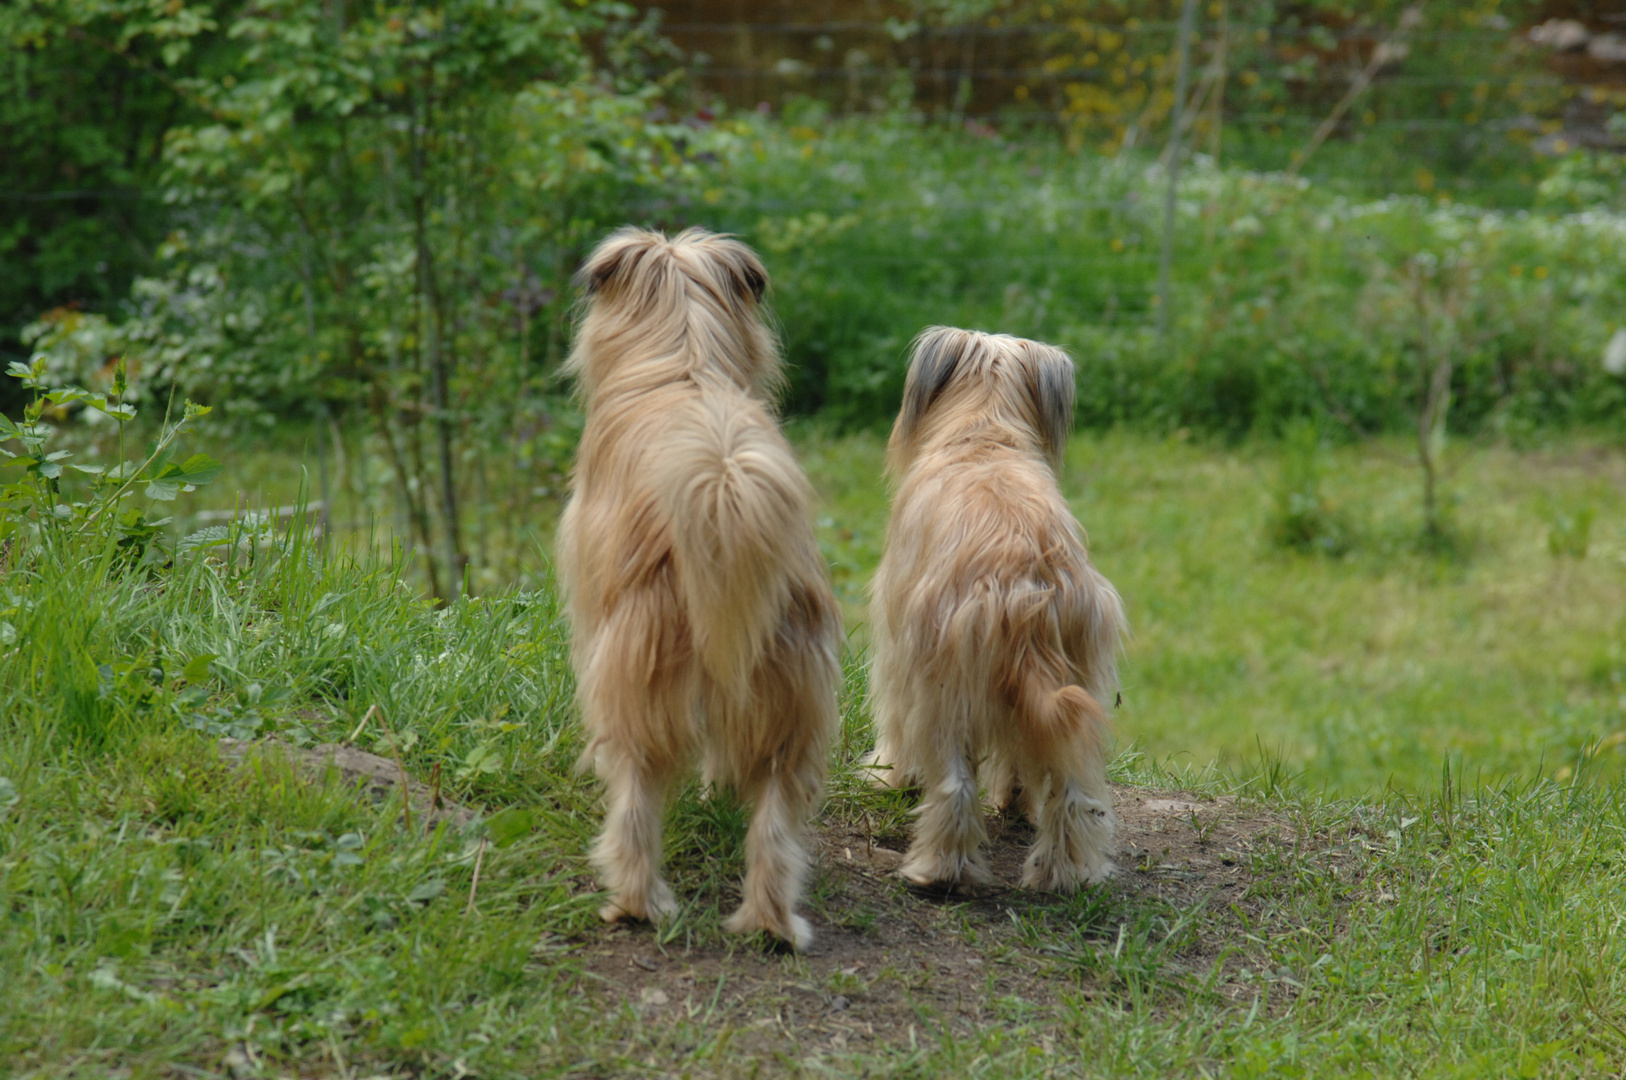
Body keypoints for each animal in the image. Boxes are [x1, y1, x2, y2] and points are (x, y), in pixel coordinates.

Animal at [556, 226, 839, 943]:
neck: (685, 355)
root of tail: (723, 487)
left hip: (634, 680)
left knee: (634, 802)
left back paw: (633, 906)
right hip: (789, 700)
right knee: (774, 827)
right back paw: (771, 926)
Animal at [871, 325, 1125, 891]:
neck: (984, 433)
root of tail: (1026, 586)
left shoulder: (898, 647)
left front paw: (888, 776)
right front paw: (1013, 802)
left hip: (943, 689)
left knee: (955, 786)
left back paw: (939, 871)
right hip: (1076, 682)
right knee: (1071, 791)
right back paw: (1065, 872)